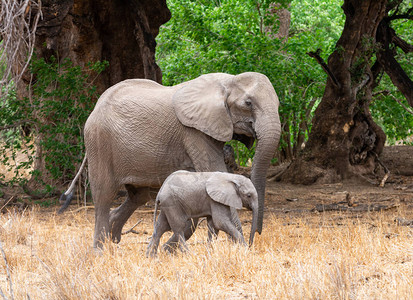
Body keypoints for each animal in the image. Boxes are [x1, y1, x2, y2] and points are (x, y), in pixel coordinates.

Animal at [59, 71, 282, 247]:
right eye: (248, 103)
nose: (257, 234)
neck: (228, 80)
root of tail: (96, 108)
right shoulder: (193, 131)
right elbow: (216, 170)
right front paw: (239, 248)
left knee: (138, 195)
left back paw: (114, 238)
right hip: (99, 141)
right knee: (104, 194)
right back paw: (100, 250)